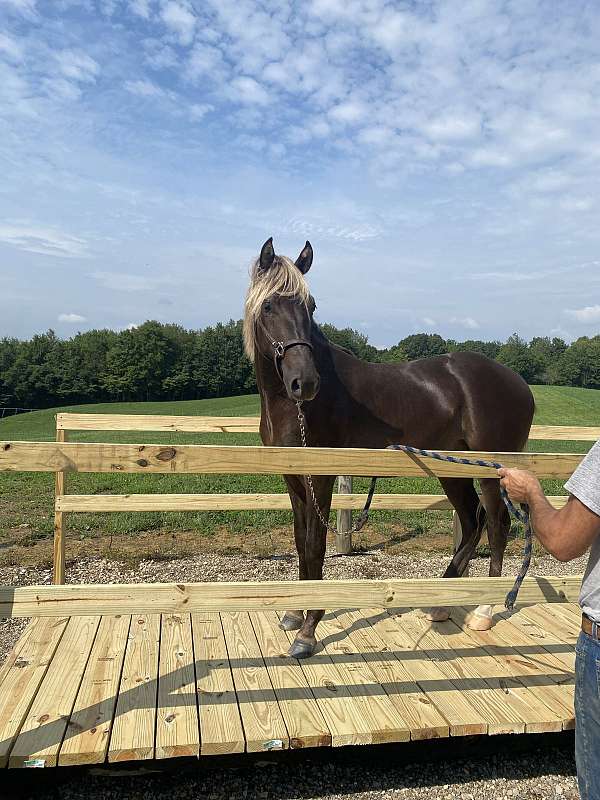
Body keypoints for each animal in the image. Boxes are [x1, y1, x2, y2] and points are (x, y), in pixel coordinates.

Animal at [244, 237, 535, 659]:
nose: (305, 382)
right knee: (472, 522)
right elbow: (300, 542)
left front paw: (309, 630)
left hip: (492, 471)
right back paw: (443, 603)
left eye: (310, 306)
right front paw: (295, 614)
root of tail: (519, 382)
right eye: (268, 306)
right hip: (453, 470)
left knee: (497, 524)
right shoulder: (293, 478)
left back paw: (483, 610)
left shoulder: (321, 476)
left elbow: (315, 545)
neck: (292, 405)